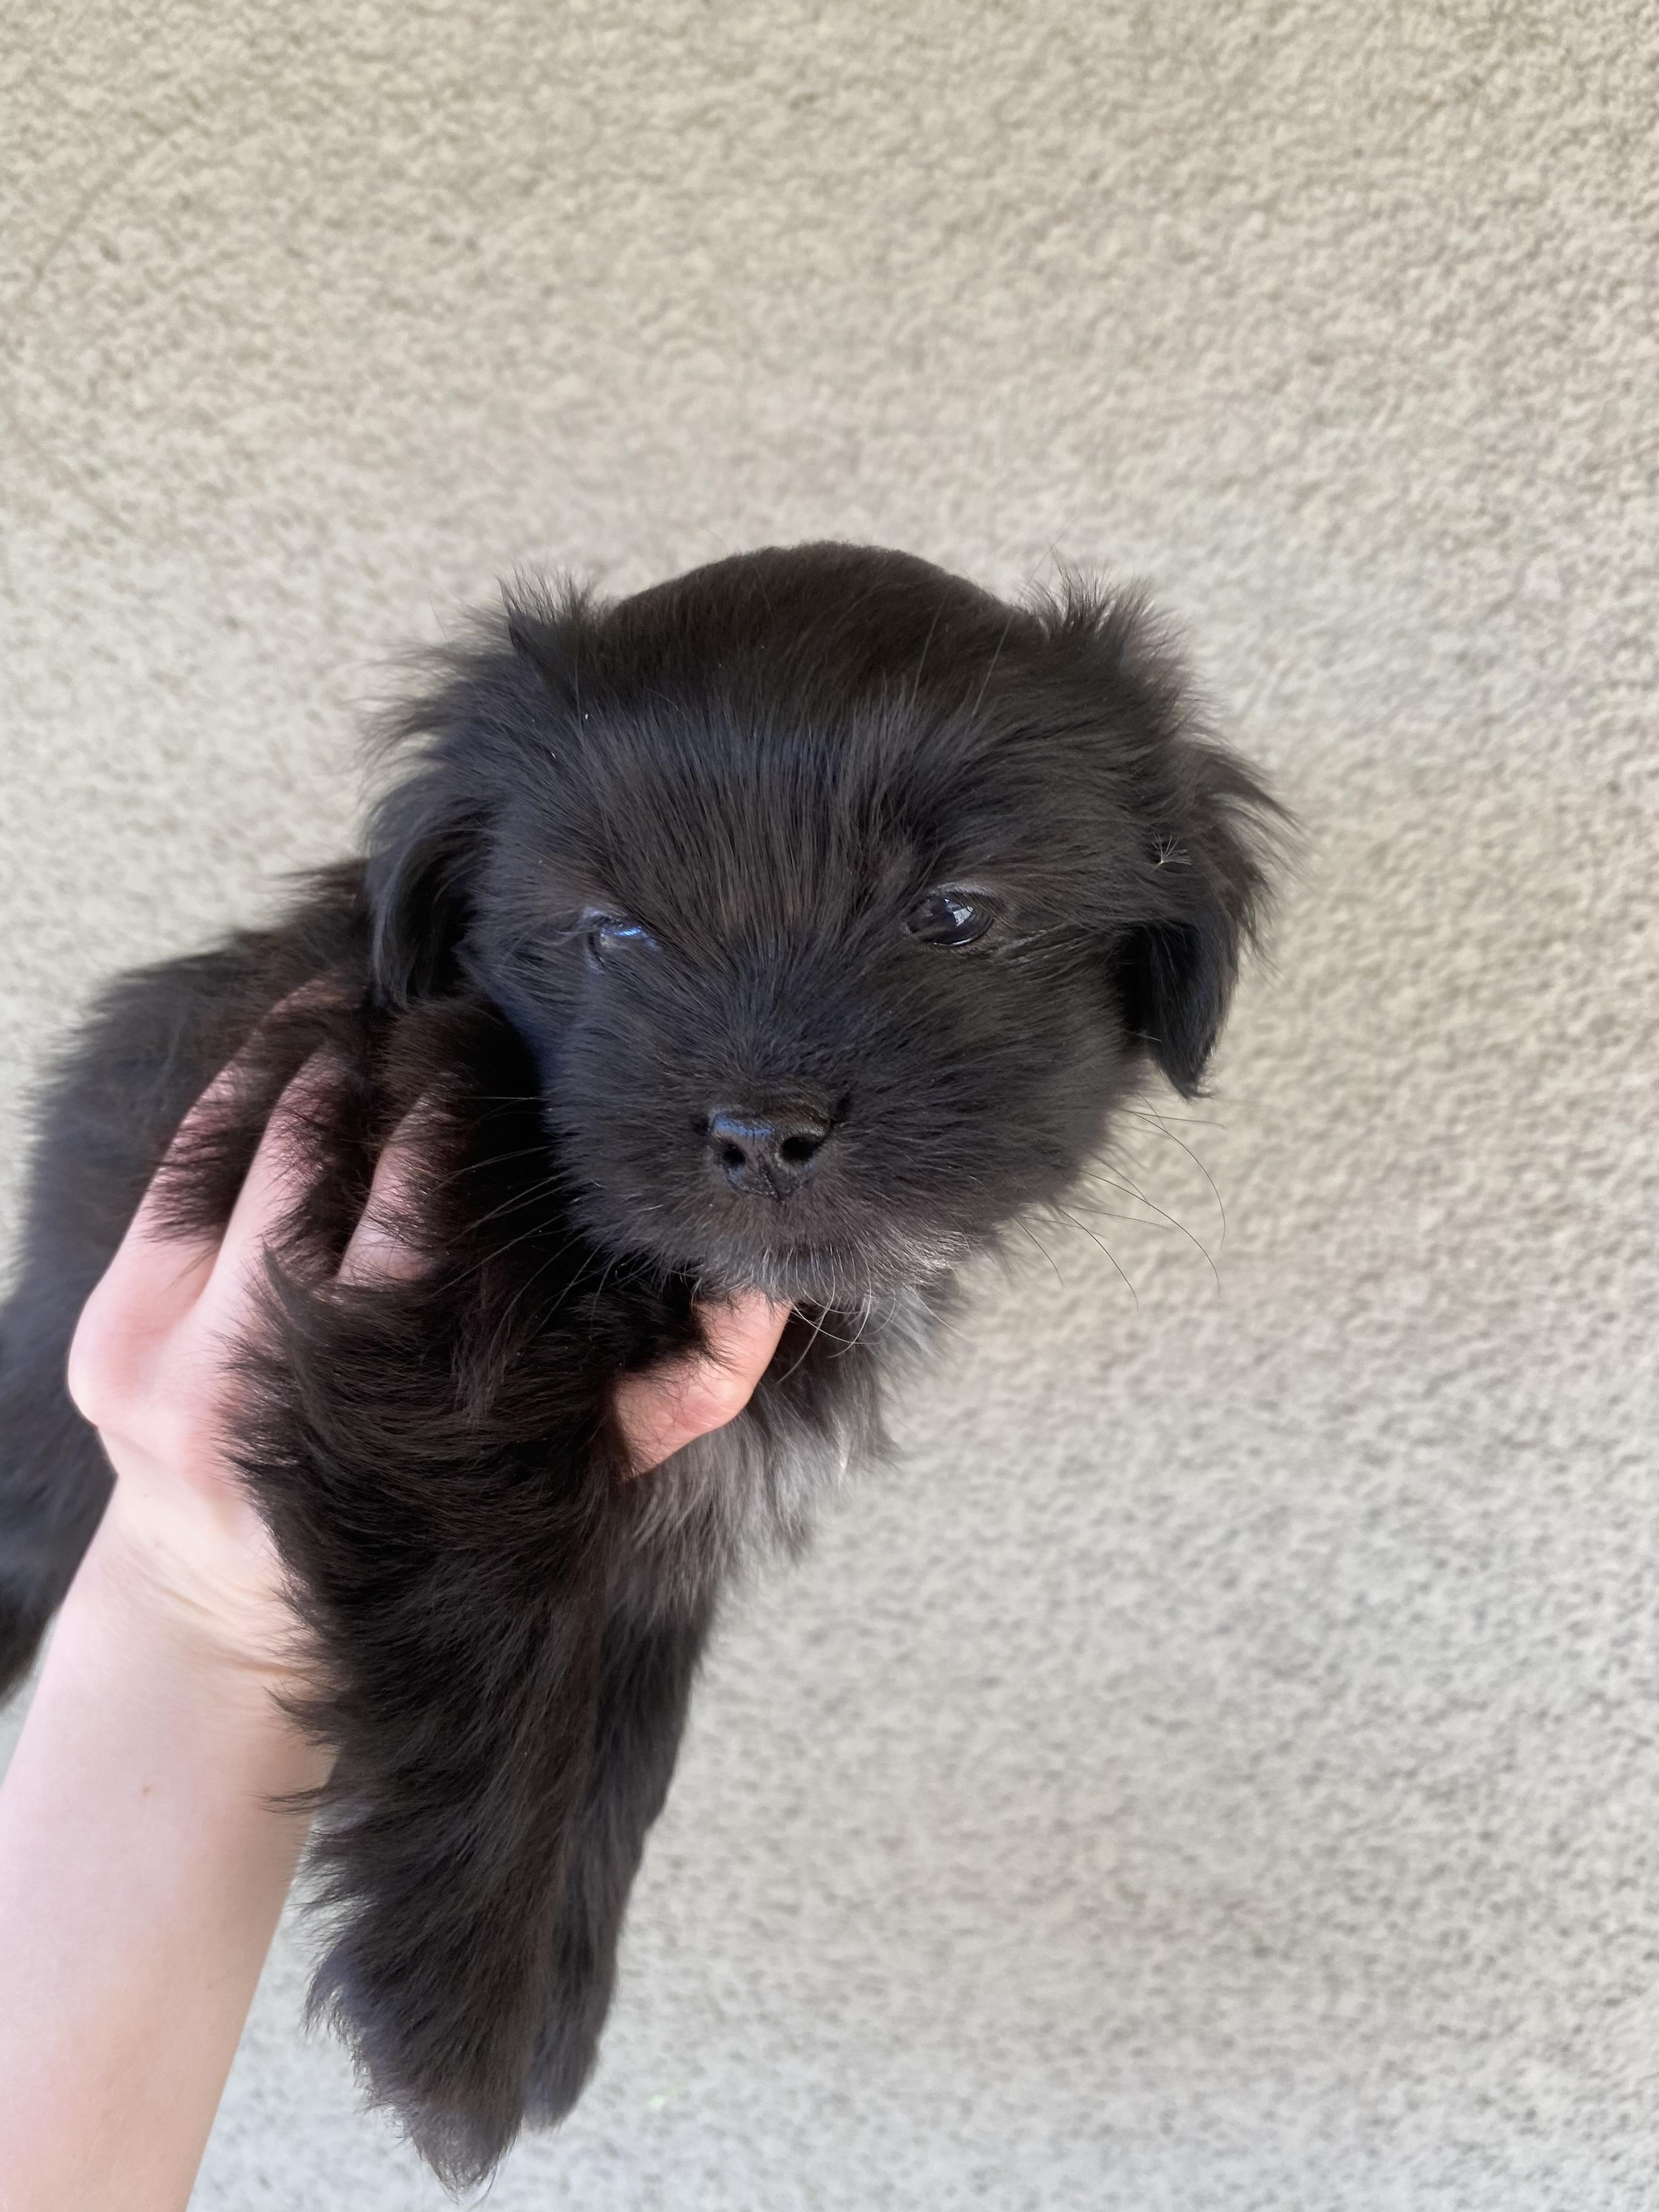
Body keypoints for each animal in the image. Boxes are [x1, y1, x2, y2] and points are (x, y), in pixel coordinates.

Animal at [0, 542, 1276, 2184]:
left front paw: (560, 2011)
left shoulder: (674, 1507)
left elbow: (627, 1737)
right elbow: (505, 1675)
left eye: (952, 915)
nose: (761, 1128)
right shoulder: (440, 1384)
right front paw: (462, 2041)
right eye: (613, 933)